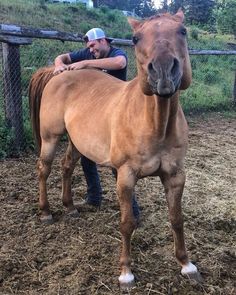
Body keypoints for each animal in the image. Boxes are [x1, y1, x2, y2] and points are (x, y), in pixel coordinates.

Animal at [28, 11, 201, 290]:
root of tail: (59, 73)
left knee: (67, 167)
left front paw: (187, 265)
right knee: (44, 169)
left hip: (77, 142)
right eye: (135, 38)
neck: (154, 123)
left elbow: (177, 219)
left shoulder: (175, 176)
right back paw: (45, 212)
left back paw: (70, 207)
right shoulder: (126, 177)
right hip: (50, 138)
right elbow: (127, 223)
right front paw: (126, 273)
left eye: (182, 31)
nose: (163, 70)